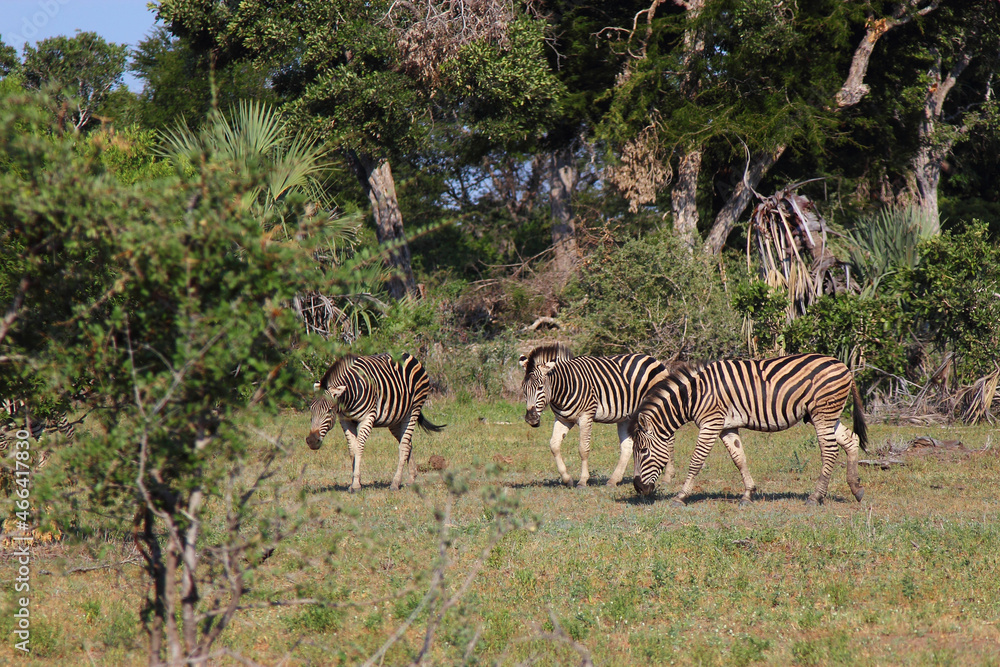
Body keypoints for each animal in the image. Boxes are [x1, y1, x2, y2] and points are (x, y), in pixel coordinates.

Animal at [306, 352, 444, 491]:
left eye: (329, 410)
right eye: (311, 409)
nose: (311, 441)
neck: (349, 396)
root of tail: (407, 354)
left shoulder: (367, 418)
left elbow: (359, 448)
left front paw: (356, 485)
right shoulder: (345, 420)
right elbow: (352, 449)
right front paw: (355, 480)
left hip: (413, 410)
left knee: (404, 446)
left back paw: (395, 483)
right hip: (395, 419)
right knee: (408, 443)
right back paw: (411, 478)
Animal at [519, 343, 675, 487]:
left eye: (540, 388)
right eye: (523, 389)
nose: (531, 419)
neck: (564, 387)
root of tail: (653, 359)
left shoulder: (586, 416)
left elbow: (583, 449)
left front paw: (582, 481)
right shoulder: (563, 419)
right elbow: (554, 445)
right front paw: (567, 479)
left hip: (660, 406)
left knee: (669, 439)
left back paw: (668, 477)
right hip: (627, 416)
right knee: (627, 445)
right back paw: (613, 480)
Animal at [629, 353, 868, 505]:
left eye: (642, 451)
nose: (639, 489)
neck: (694, 395)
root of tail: (845, 367)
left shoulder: (710, 423)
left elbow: (696, 461)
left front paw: (680, 496)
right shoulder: (726, 427)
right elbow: (739, 458)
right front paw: (747, 495)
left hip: (822, 413)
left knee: (830, 451)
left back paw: (816, 497)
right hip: (826, 415)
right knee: (851, 440)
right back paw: (856, 489)